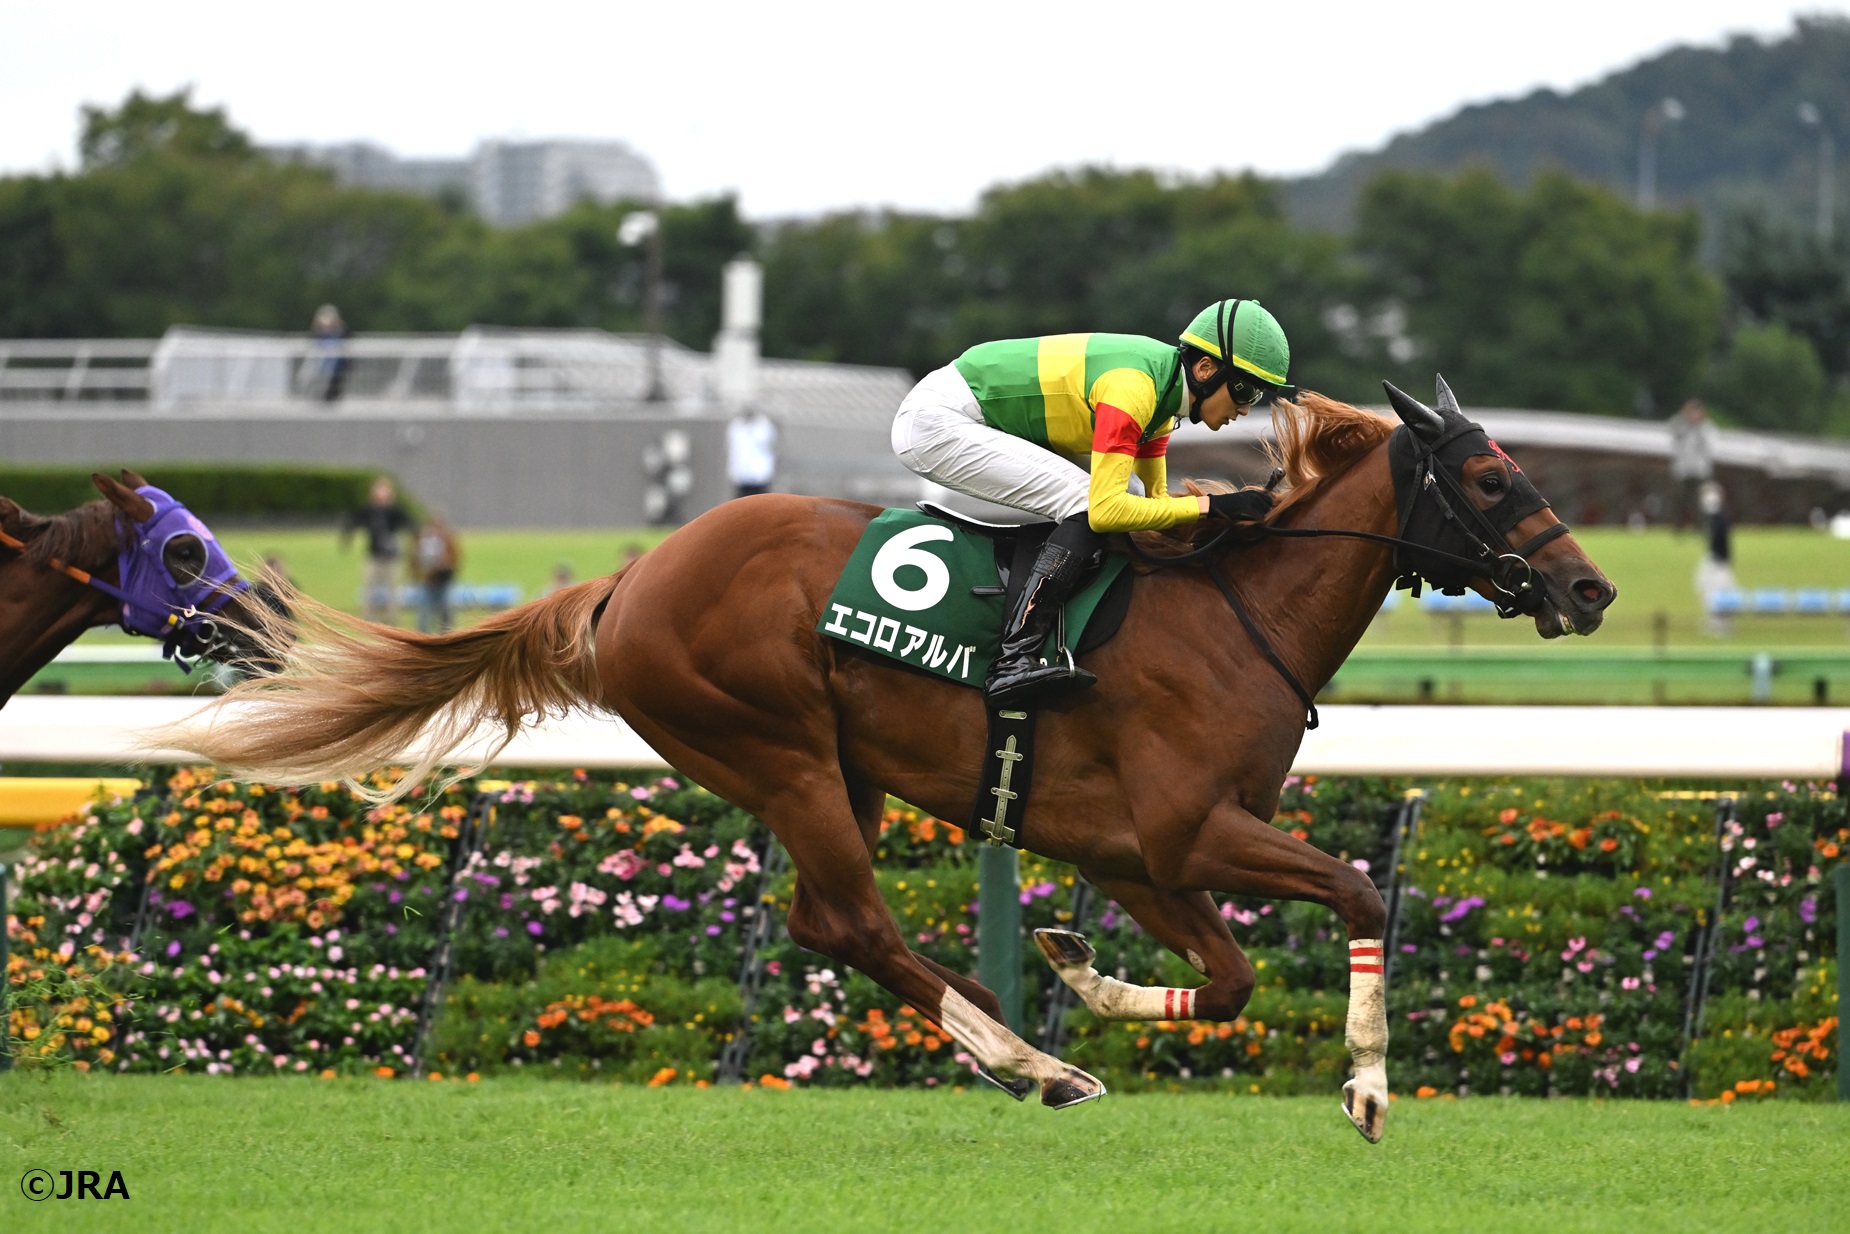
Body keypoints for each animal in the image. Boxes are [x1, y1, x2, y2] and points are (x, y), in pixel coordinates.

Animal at [161, 379, 1616, 1142]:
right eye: (1491, 480)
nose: (1590, 588)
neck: (1233, 611)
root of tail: (633, 575)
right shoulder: (1187, 830)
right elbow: (1357, 891)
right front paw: (1366, 1087)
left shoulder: (1137, 854)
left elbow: (1231, 977)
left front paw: (1080, 970)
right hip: (779, 746)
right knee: (853, 919)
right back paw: (1029, 1062)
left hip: (832, 764)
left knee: (828, 921)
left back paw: (1017, 1039)